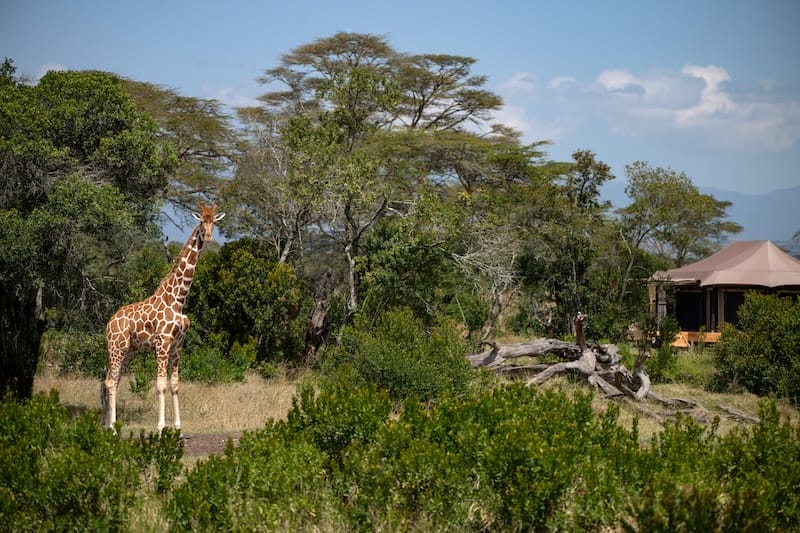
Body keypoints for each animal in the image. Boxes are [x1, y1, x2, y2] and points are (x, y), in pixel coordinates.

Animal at [103, 202, 225, 432]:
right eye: (201, 223)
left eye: (214, 222)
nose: (208, 236)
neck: (178, 298)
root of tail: (108, 324)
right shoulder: (162, 343)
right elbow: (160, 385)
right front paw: (160, 427)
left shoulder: (177, 345)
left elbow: (174, 384)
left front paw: (177, 426)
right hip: (116, 347)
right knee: (111, 382)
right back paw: (112, 428)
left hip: (129, 350)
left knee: (111, 380)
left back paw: (106, 426)